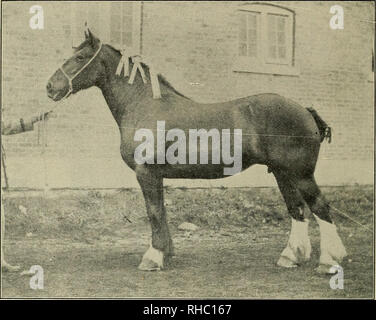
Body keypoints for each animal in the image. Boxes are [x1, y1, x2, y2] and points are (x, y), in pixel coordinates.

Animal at [47, 30, 346, 274]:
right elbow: (161, 211)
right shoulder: (156, 176)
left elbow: (153, 212)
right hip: (283, 174)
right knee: (297, 209)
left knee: (320, 207)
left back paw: (328, 261)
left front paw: (153, 258)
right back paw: (291, 257)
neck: (143, 104)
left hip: (300, 174)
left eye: (80, 57)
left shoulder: (146, 174)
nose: (50, 87)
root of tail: (305, 110)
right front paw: (166, 253)